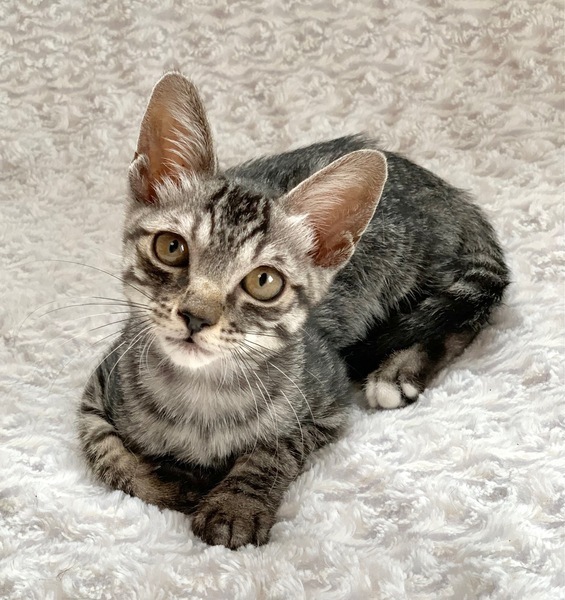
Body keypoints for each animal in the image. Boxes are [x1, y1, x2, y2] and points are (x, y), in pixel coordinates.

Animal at [78, 72, 509, 549]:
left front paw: (235, 504)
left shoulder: (328, 400)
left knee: (463, 314)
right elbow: (105, 452)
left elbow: (276, 448)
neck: (202, 395)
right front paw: (172, 484)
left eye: (263, 282)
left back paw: (398, 374)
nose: (196, 316)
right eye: (171, 247)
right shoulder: (101, 384)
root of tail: (454, 196)